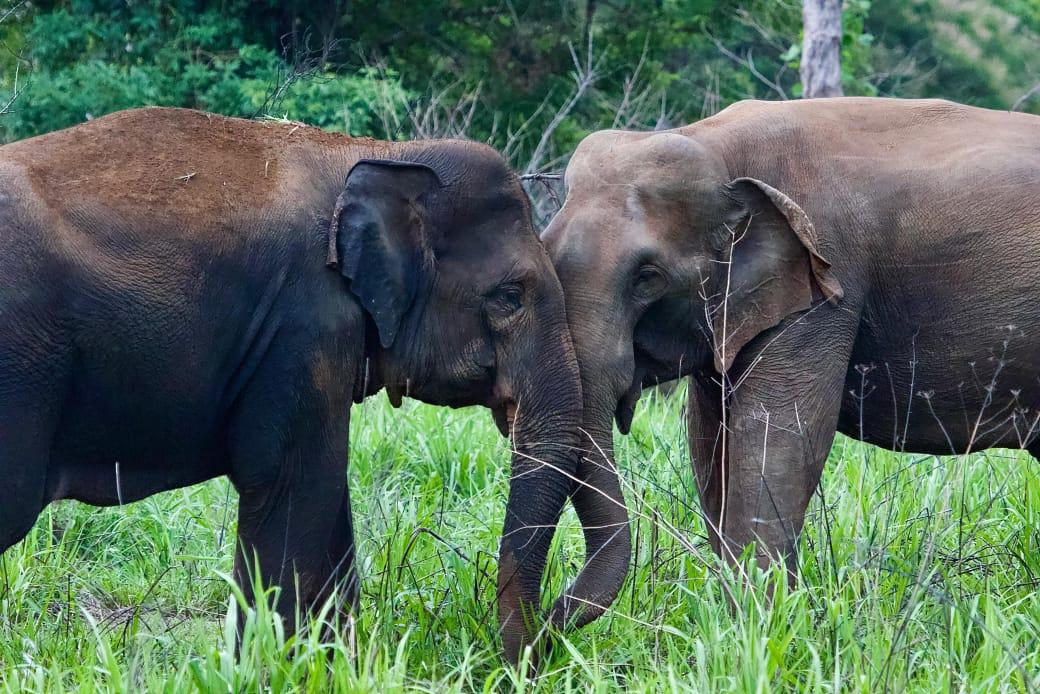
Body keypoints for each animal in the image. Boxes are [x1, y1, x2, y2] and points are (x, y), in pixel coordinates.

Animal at [0, 107, 601, 662]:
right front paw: (271, 670)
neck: (374, 153)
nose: (534, 653)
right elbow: (296, 487)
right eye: (509, 297)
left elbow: (328, 504)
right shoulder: (305, 328)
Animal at [540, 97, 1040, 627]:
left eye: (647, 277)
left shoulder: (828, 283)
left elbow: (780, 435)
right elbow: (709, 441)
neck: (713, 141)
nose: (543, 629)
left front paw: (763, 623)